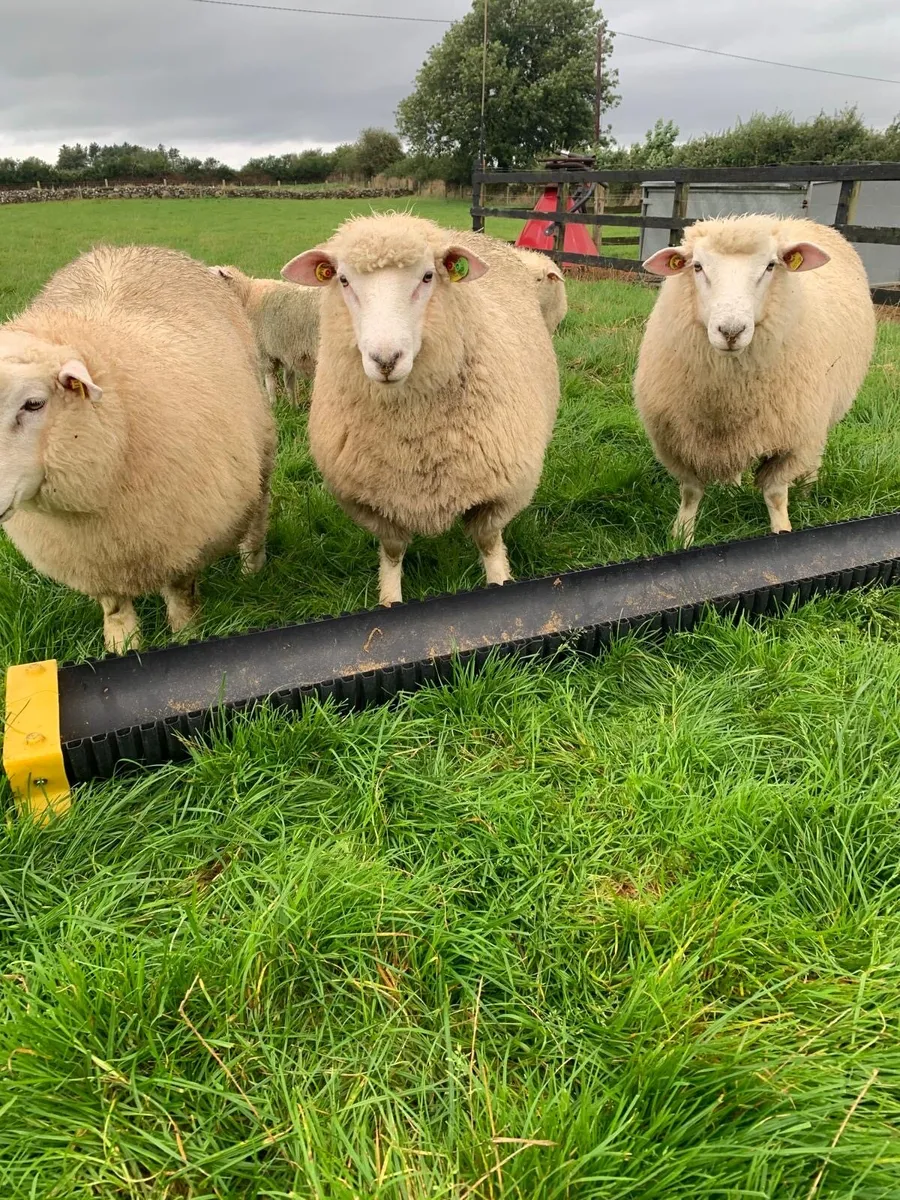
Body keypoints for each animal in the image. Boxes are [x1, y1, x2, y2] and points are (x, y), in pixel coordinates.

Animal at [0, 244, 276, 653]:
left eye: (33, 403)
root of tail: (121, 248)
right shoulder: (94, 559)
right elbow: (115, 607)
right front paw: (123, 646)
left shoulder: (182, 536)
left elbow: (181, 597)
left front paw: (186, 636)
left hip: (261, 452)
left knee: (257, 515)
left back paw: (252, 569)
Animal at [210, 264, 320, 404]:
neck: (246, 297)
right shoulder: (285, 351)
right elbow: (289, 381)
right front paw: (293, 404)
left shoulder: (264, 352)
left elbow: (270, 381)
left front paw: (272, 403)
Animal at [281, 213, 560, 606]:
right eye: (344, 280)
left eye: (428, 276)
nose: (385, 360)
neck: (415, 431)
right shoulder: (372, 503)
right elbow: (393, 551)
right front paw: (390, 600)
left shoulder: (501, 492)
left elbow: (489, 543)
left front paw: (500, 583)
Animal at [633, 215, 876, 541]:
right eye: (697, 266)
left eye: (771, 266)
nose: (731, 331)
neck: (729, 397)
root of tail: (802, 221)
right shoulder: (678, 439)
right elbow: (691, 492)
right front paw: (682, 536)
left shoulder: (790, 439)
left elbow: (774, 494)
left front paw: (782, 530)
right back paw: (732, 489)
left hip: (820, 416)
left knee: (814, 454)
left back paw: (806, 492)